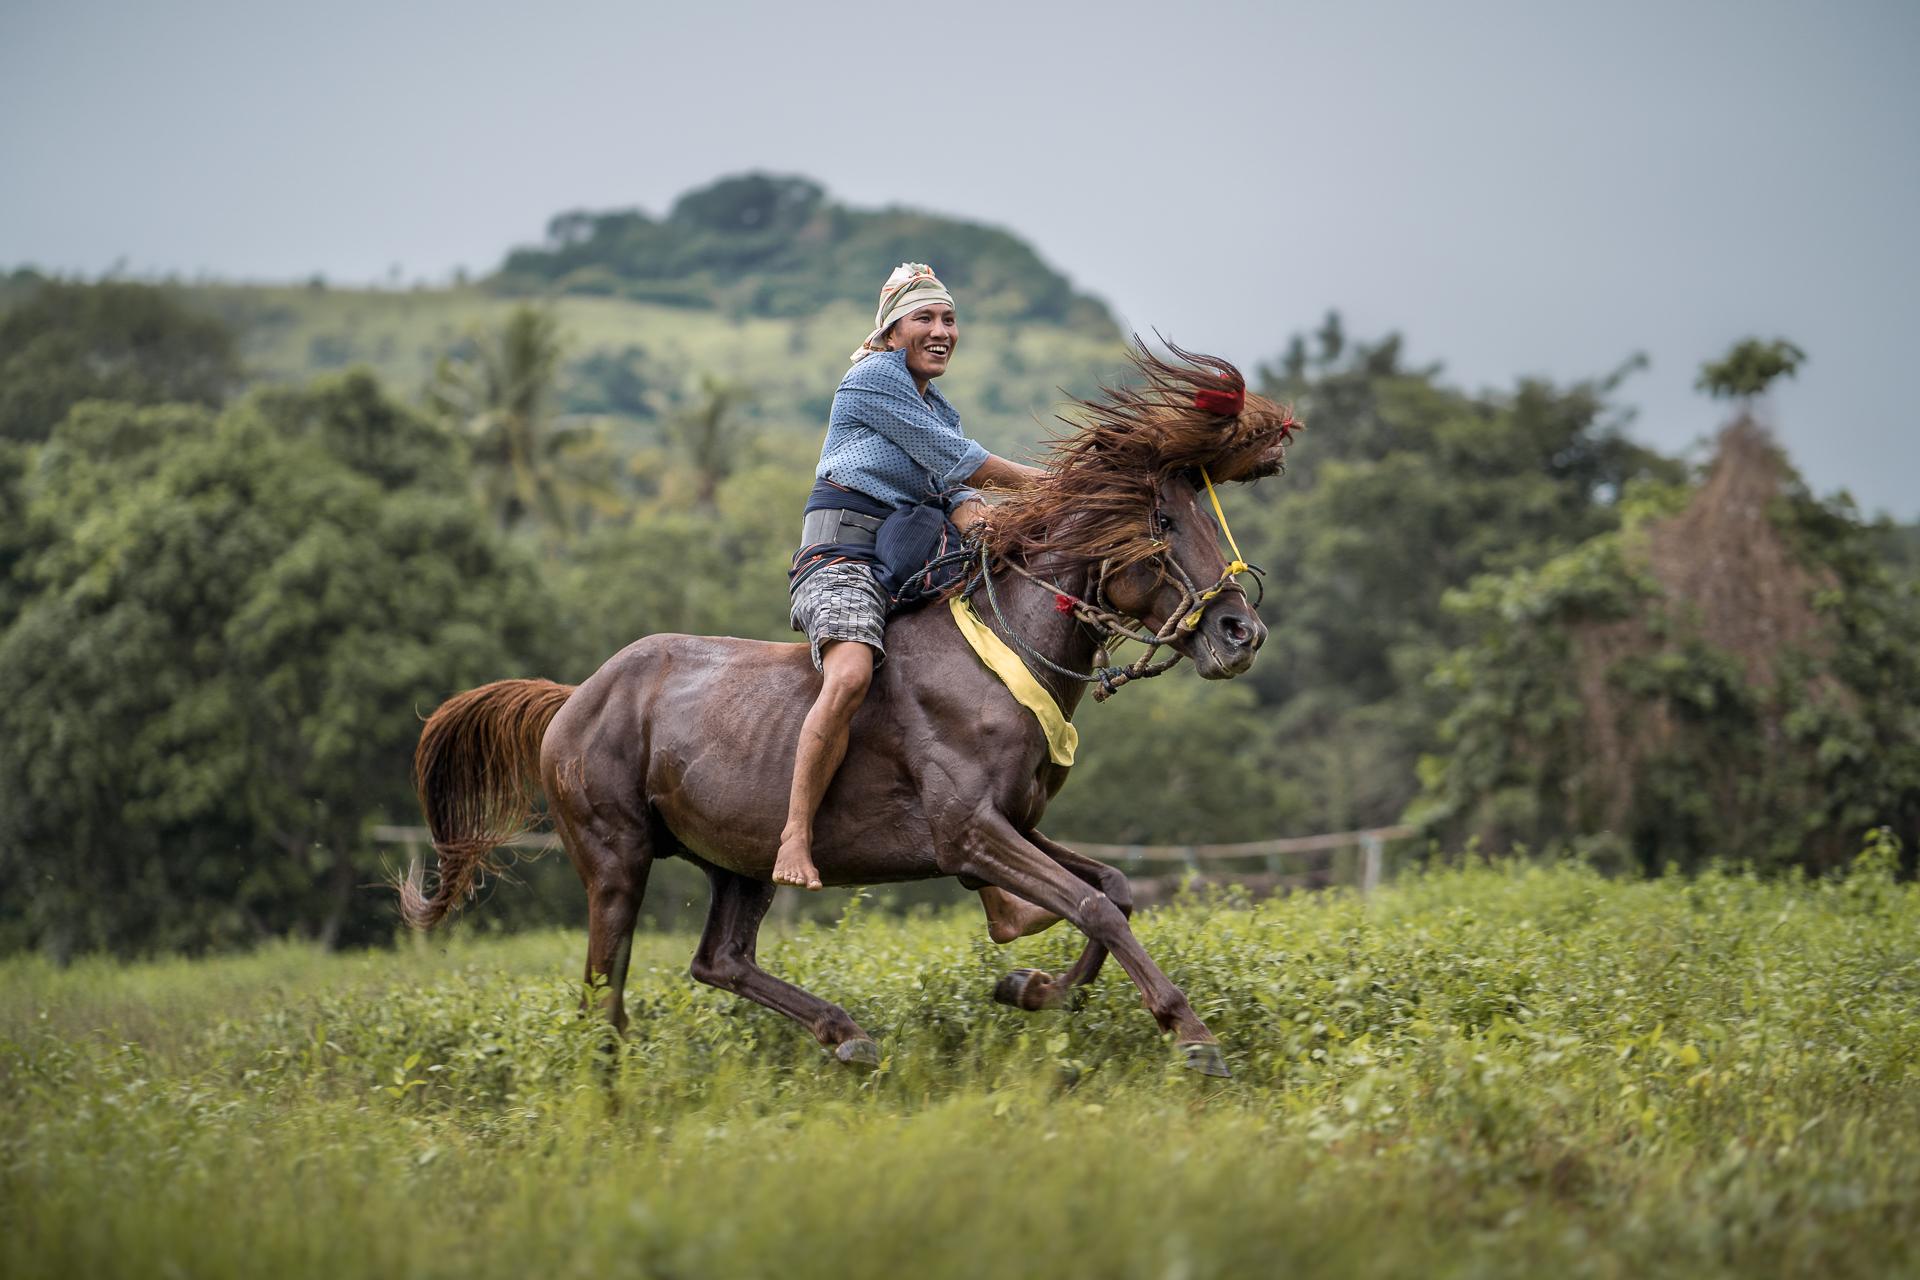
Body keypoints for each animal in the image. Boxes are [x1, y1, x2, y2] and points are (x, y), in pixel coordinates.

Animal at [397, 345, 1297, 1074]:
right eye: (1161, 520)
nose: (1241, 631)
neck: (997, 661)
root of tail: (571, 701)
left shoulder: (1013, 823)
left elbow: (1112, 888)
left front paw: (1028, 984)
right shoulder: (970, 832)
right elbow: (1093, 906)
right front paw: (1190, 1034)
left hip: (738, 862)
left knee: (718, 961)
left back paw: (847, 1034)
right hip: (615, 858)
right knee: (602, 999)